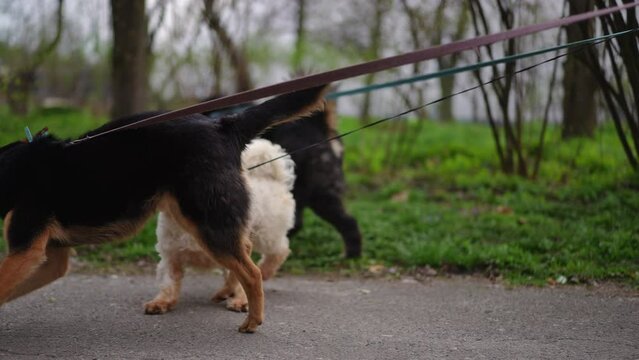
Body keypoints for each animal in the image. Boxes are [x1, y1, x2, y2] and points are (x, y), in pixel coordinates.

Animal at [144, 139, 296, 314]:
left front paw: (240, 301)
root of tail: (271, 178)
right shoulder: (171, 256)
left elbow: (241, 280)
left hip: (267, 233)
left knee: (281, 250)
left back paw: (265, 270)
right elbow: (168, 281)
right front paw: (161, 302)